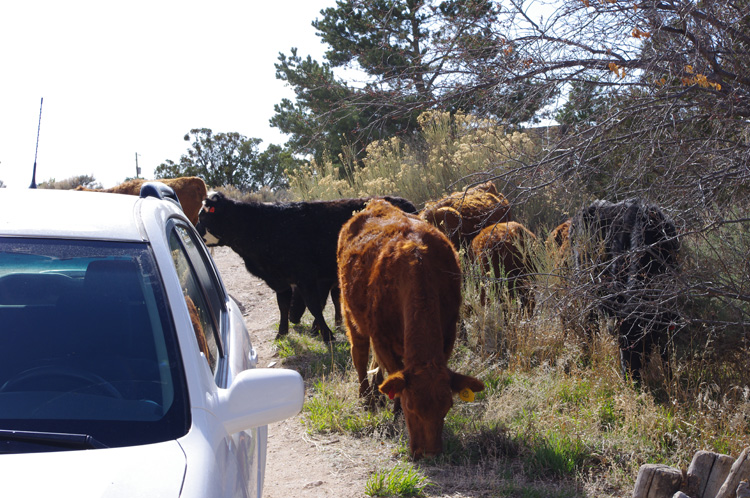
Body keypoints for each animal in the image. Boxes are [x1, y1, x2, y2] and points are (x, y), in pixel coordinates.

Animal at [197, 192, 420, 342]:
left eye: (202, 216)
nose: (197, 230)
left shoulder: (306, 277)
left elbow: (314, 305)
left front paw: (327, 335)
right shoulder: (281, 281)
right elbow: (283, 305)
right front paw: (282, 332)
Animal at [338, 197, 484, 460]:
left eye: (448, 407)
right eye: (410, 407)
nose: (428, 453)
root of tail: (376, 203)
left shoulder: (447, 334)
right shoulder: (382, 339)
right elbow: (394, 373)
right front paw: (395, 411)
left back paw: (376, 393)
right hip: (350, 314)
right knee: (359, 355)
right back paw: (366, 399)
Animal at [572, 197, 684, 378]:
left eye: (644, 342)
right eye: (621, 343)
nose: (630, 377)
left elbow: (664, 350)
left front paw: (670, 377)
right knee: (590, 323)